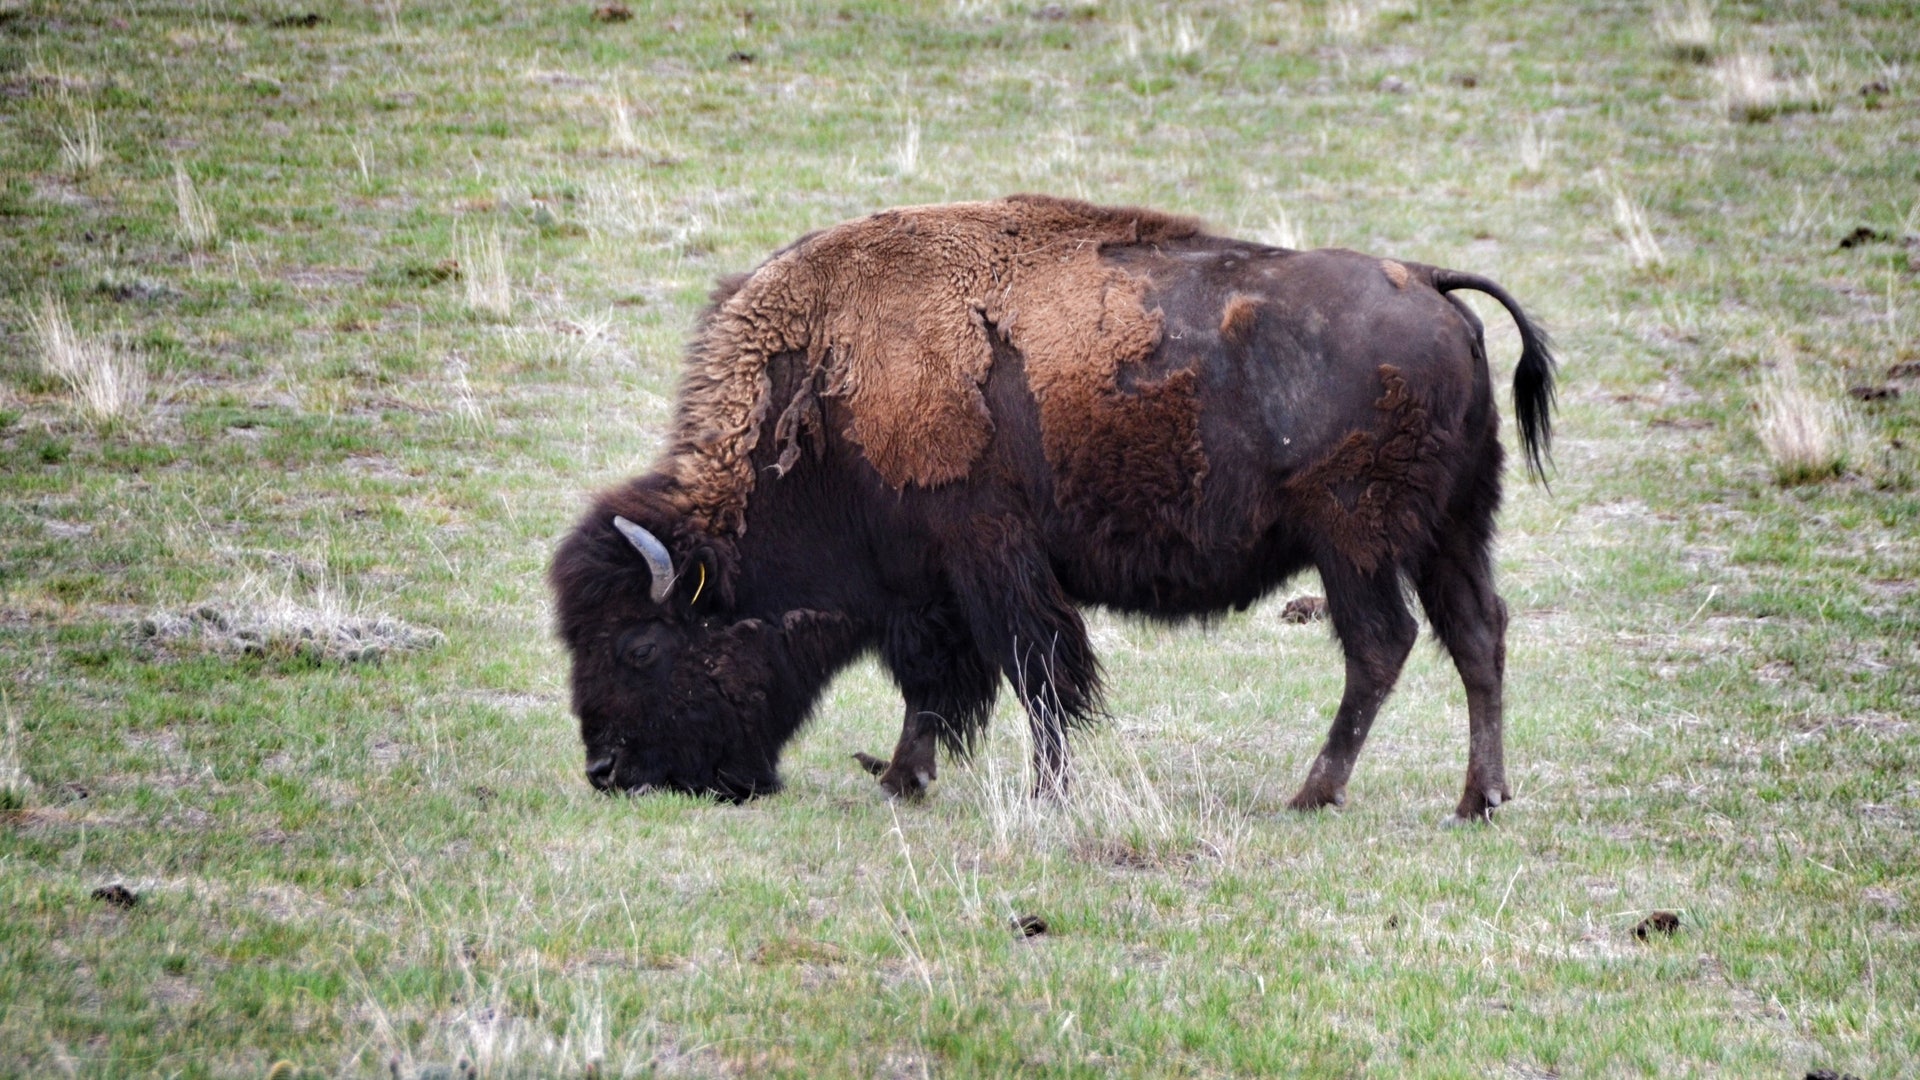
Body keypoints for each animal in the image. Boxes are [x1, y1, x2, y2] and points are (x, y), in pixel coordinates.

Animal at [550, 195, 1555, 821]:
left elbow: (1031, 671)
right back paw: (1479, 799)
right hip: (1454, 531)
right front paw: (904, 779)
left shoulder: (986, 554)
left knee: (1381, 644)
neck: (832, 379)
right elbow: (943, 684)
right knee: (1479, 634)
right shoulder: (934, 585)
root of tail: (1431, 283)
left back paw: (1315, 792)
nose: (606, 772)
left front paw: (1037, 792)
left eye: (637, 646)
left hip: (1354, 540)